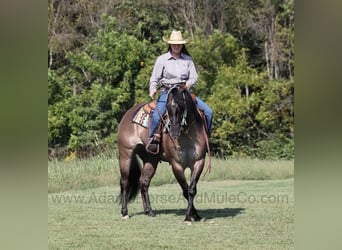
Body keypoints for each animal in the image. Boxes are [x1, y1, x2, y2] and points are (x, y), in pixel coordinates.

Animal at [116, 84, 210, 221]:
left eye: (182, 105)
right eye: (167, 108)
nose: (173, 132)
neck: (187, 134)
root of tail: (127, 115)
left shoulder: (199, 162)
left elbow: (191, 190)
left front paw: (195, 215)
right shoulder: (176, 165)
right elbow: (185, 190)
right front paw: (189, 216)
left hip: (150, 159)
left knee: (143, 182)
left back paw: (149, 211)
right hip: (126, 155)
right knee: (124, 182)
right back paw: (124, 213)